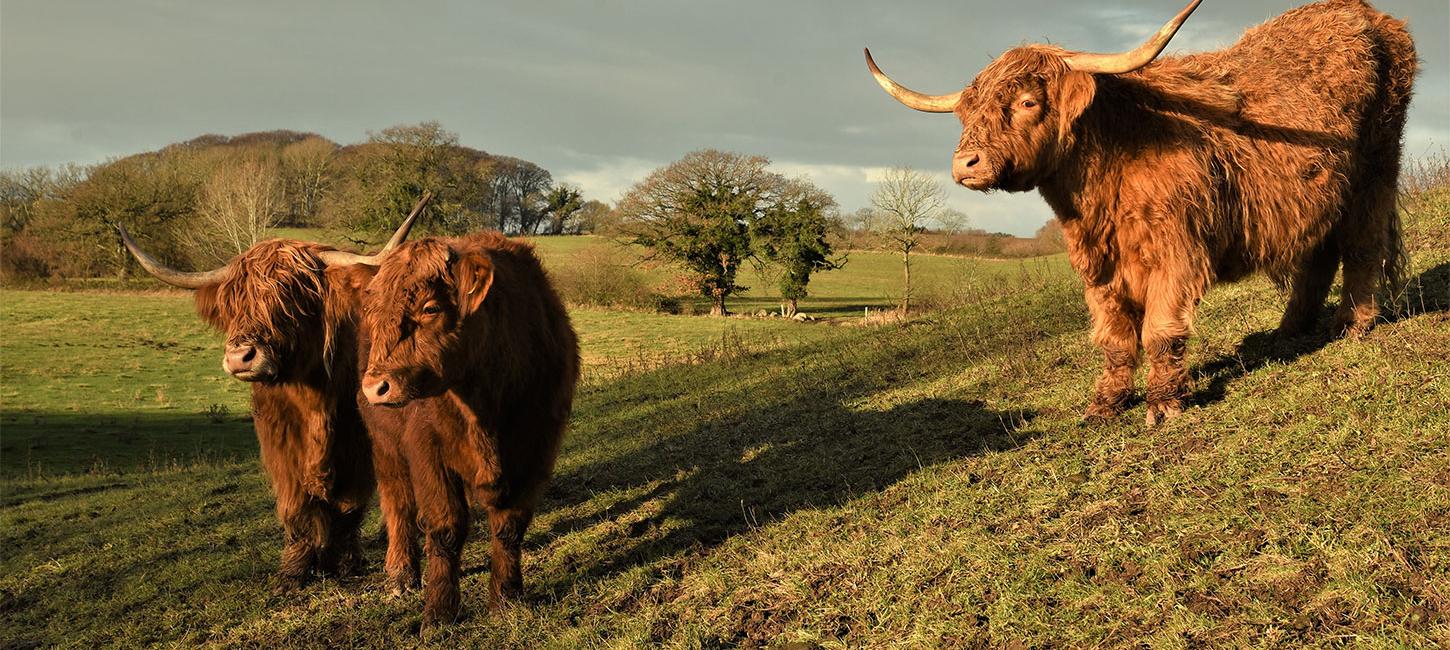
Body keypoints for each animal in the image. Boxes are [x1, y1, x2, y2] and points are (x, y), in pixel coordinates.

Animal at [119, 200, 426, 591]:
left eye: (289, 299)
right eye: (234, 304)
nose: (240, 357)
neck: (313, 396)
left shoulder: (358, 442)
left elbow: (350, 504)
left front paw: (344, 562)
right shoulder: (279, 439)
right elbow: (295, 504)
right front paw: (294, 570)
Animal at [352, 232, 577, 623]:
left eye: (430, 308)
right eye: (375, 311)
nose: (375, 387)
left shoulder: (536, 449)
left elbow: (510, 527)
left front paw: (506, 599)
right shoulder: (428, 452)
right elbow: (445, 529)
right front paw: (439, 611)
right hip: (385, 446)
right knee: (398, 504)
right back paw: (401, 574)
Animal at [864, 0, 1409, 423]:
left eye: (1027, 101)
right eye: (967, 112)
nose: (966, 164)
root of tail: (1367, 15)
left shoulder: (1178, 254)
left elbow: (1159, 330)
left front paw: (1163, 404)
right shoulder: (1098, 267)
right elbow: (1115, 338)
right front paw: (1106, 404)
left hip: (1376, 169)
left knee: (1363, 243)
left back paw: (1353, 324)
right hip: (1323, 190)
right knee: (1319, 251)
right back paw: (1289, 330)